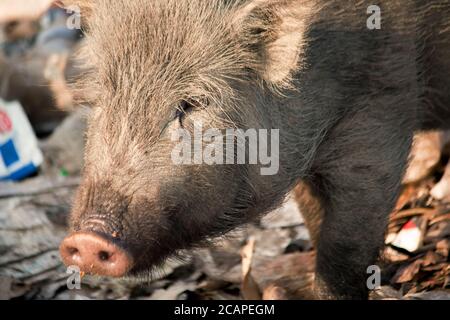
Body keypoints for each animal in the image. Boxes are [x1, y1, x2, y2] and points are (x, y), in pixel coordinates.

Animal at [59, 0, 450, 300]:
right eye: (98, 97)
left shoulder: (384, 103)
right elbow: (314, 217)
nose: (87, 240)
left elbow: (345, 245)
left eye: (191, 103)